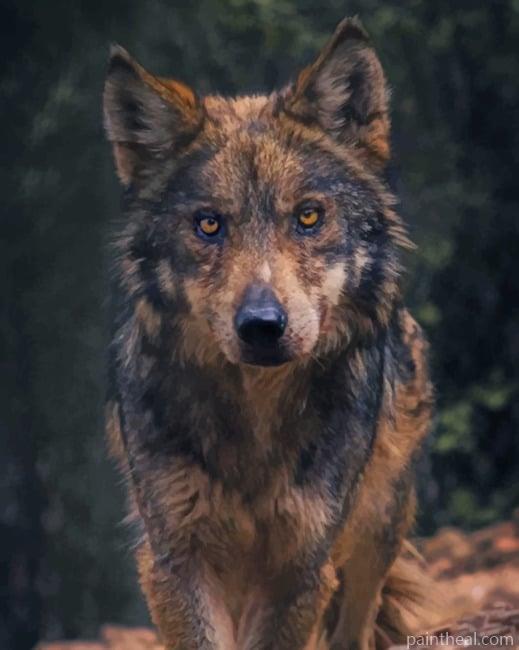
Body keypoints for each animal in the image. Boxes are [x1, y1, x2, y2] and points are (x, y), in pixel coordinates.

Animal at [103, 16, 436, 650]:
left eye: (308, 216)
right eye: (209, 224)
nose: (262, 326)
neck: (255, 423)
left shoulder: (299, 568)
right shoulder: (177, 561)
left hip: (373, 533)